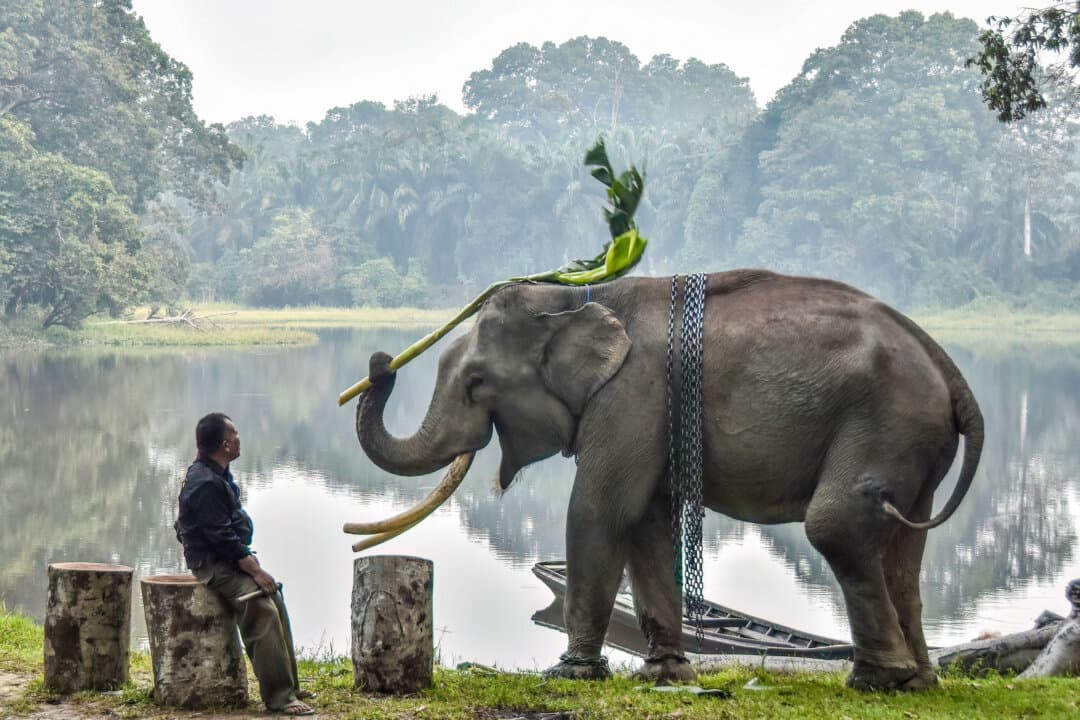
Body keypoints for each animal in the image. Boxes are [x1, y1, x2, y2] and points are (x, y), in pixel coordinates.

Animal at [354, 269, 984, 691]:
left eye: (477, 382)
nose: (380, 362)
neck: (582, 298)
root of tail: (951, 371)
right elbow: (647, 521)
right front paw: (664, 673)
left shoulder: (633, 394)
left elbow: (599, 509)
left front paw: (571, 674)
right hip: (914, 446)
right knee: (902, 547)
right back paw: (921, 681)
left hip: (884, 422)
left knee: (837, 526)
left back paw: (878, 680)